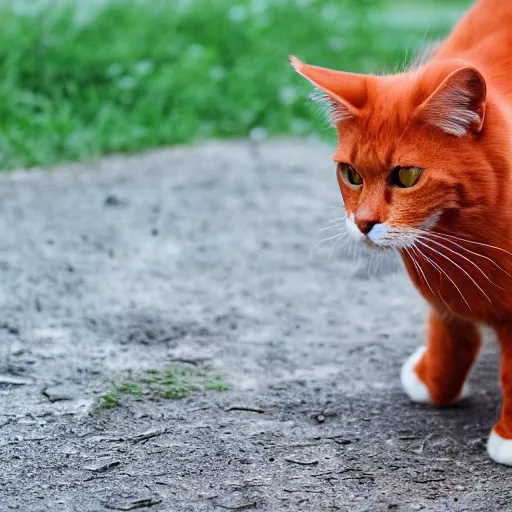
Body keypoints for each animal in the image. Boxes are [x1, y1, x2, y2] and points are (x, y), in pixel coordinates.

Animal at [292, 0, 512, 466]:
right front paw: (432, 382)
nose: (363, 223)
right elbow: (450, 338)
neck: (461, 244)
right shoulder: (445, 300)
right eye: (351, 174)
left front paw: (509, 437)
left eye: (407, 175)